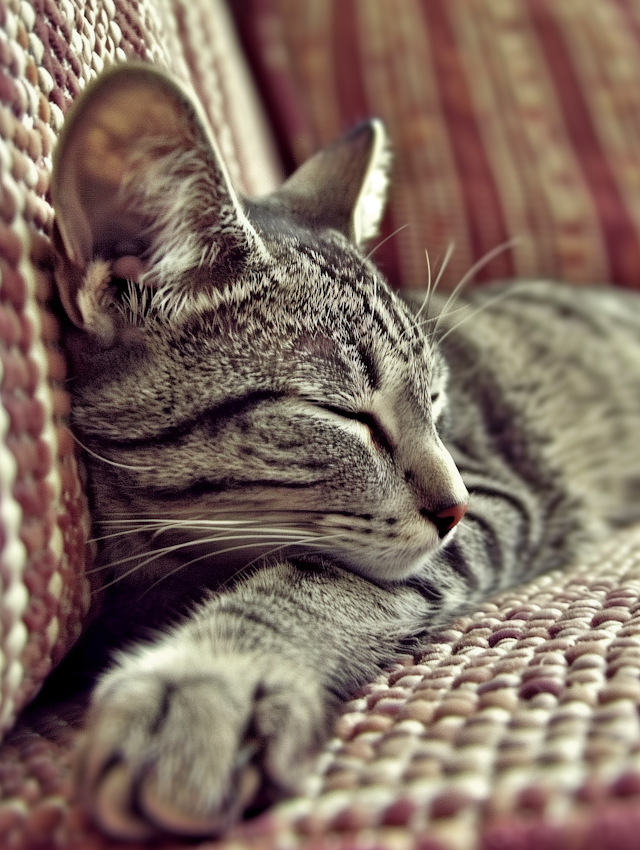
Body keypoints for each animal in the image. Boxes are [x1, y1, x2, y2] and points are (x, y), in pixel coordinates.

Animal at [47, 63, 640, 840]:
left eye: (439, 403)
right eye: (343, 414)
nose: (454, 506)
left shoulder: (498, 493)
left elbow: (320, 576)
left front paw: (215, 677)